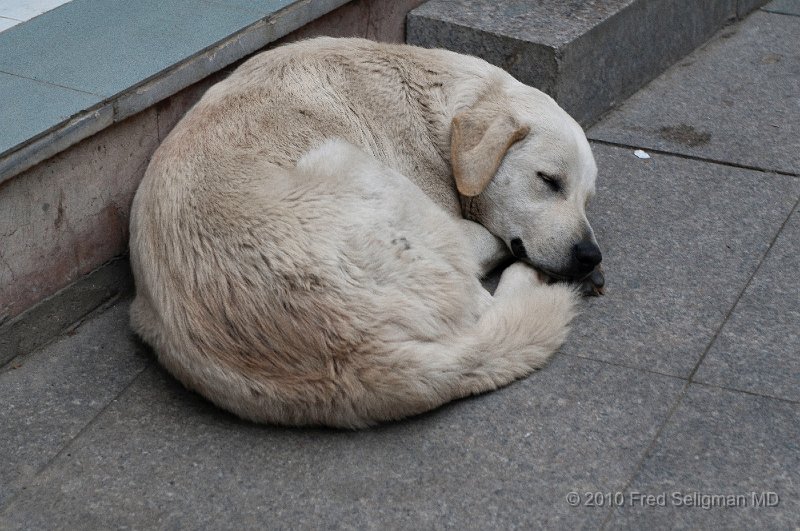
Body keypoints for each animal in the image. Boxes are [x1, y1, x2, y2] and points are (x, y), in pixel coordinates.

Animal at [130, 36, 600, 428]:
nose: (590, 255)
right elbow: (491, 239)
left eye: (586, 198)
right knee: (486, 308)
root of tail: (362, 354)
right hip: (351, 163)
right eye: (548, 180)